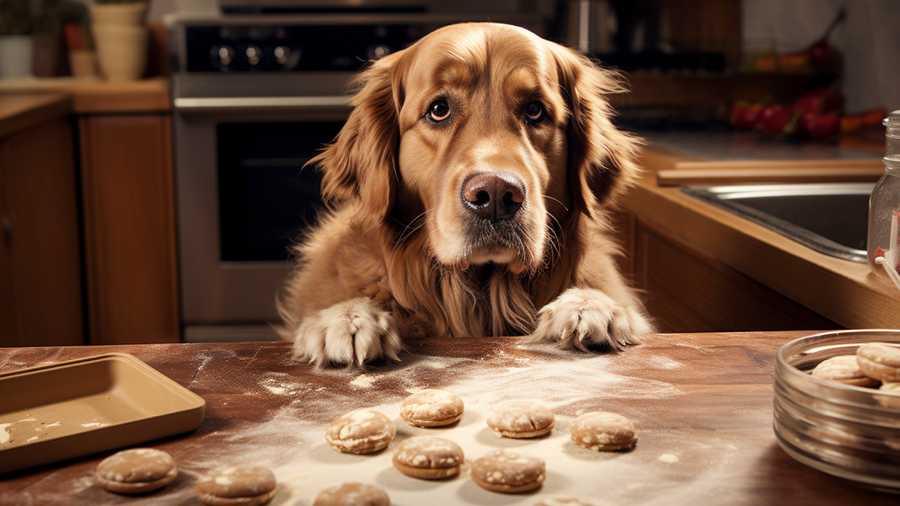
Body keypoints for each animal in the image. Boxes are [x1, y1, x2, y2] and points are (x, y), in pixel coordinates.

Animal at [278, 21, 652, 366]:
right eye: (438, 110)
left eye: (535, 110)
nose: (497, 196)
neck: (480, 293)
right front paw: (349, 318)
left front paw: (588, 306)